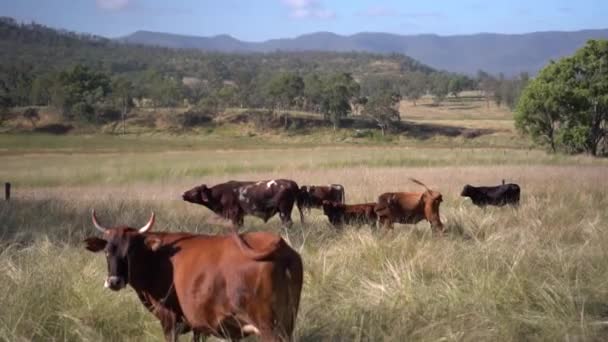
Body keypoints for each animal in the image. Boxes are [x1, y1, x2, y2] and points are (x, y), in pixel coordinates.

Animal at [84, 210, 302, 340]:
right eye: (107, 251)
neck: (158, 257)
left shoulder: (169, 320)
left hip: (269, 328)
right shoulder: (200, 324)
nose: (114, 281)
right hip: (287, 324)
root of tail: (279, 245)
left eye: (131, 251)